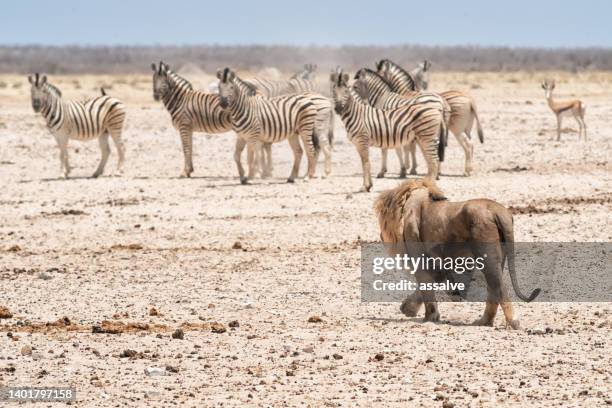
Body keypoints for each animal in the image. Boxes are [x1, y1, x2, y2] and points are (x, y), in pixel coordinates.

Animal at [372, 178, 540, 328]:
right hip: (500, 255)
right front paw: (408, 309)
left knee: (498, 286)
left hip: (486, 253)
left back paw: (512, 323)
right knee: (492, 288)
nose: (381, 236)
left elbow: (425, 283)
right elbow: (431, 281)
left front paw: (428, 317)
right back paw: (484, 322)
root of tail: (499, 212)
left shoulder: (417, 251)